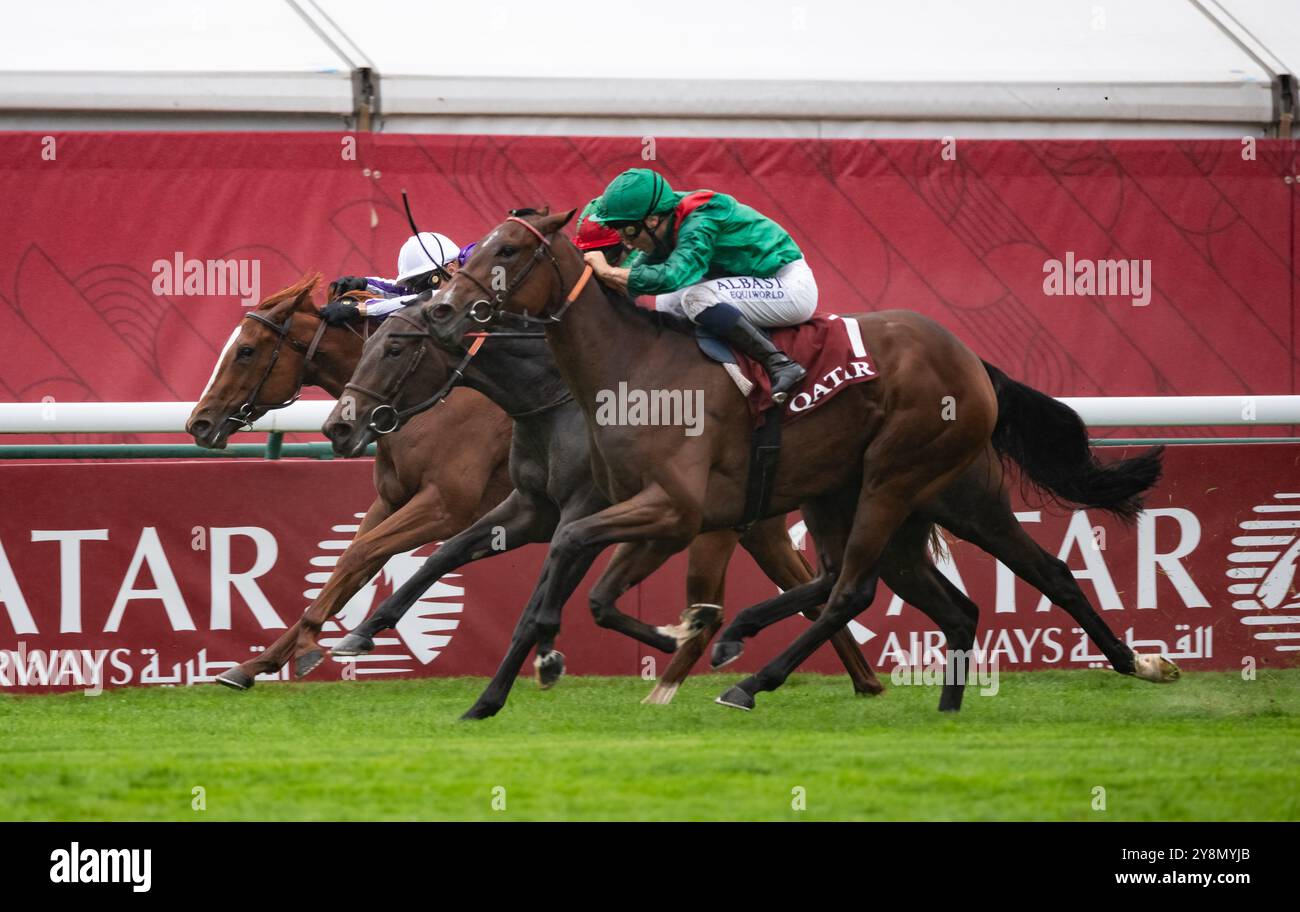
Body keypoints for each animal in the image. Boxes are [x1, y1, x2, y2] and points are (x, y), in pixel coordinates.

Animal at [416, 210, 1180, 717]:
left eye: (510, 248)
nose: (444, 309)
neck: (631, 367)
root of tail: (969, 358)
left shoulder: (671, 509)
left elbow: (574, 556)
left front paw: (670, 635)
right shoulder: (651, 516)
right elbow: (595, 594)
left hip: (900, 480)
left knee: (854, 589)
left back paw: (750, 681)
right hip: (910, 504)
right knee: (1004, 586)